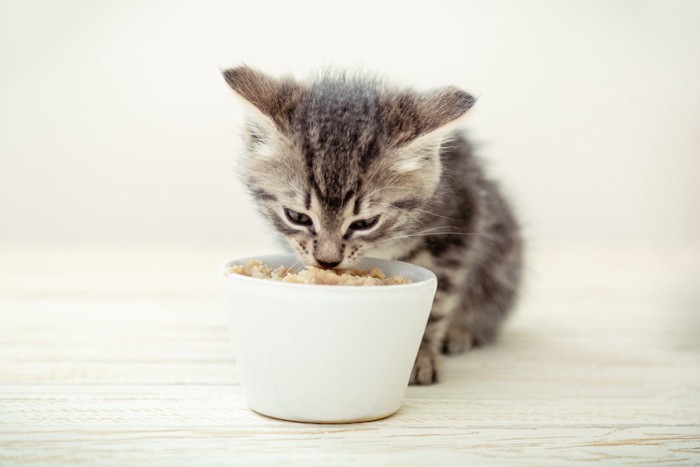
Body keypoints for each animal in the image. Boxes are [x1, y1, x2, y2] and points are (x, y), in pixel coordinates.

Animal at [221, 66, 524, 388]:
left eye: (365, 223)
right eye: (297, 217)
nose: (328, 261)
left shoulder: (458, 221)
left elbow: (438, 299)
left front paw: (422, 355)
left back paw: (462, 331)